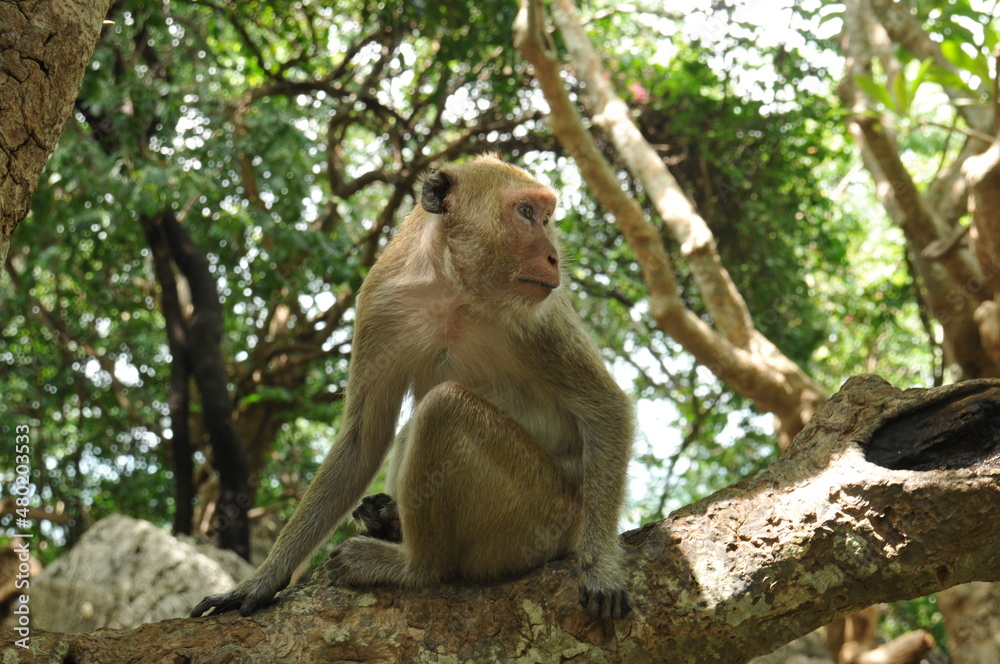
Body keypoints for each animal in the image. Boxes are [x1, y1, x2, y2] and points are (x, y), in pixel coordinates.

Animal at [191, 155, 635, 621]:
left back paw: (415, 567)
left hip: (542, 513)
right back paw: (391, 523)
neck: (454, 287)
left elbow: (604, 407)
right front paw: (262, 580)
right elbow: (364, 439)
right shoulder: (380, 300)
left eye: (545, 218)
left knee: (444, 409)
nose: (553, 258)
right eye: (527, 212)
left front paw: (601, 569)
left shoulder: (543, 315)